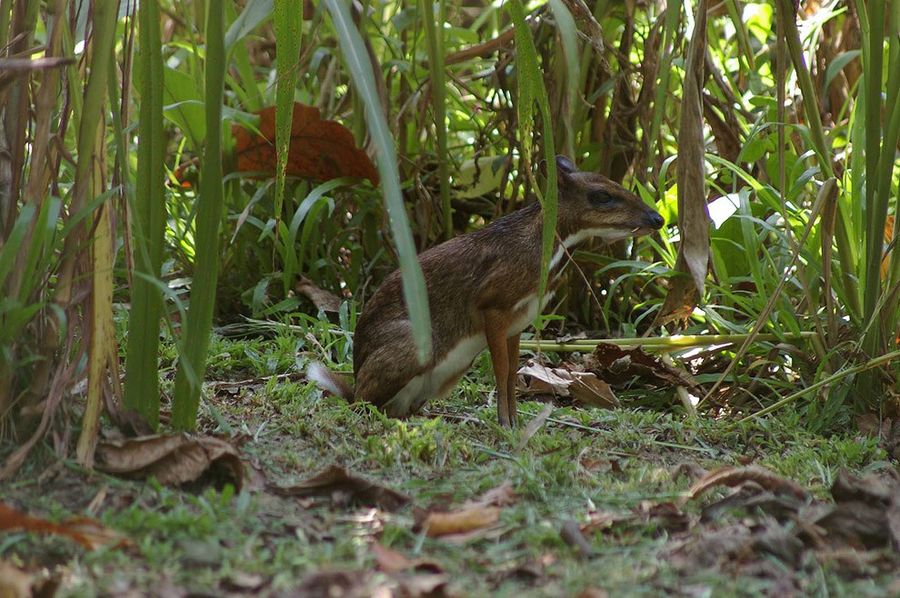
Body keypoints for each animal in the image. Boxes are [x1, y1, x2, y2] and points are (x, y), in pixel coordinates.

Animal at [310, 155, 660, 426]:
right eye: (602, 195)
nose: (656, 217)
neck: (540, 251)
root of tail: (353, 383)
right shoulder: (493, 304)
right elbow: (501, 369)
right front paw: (505, 423)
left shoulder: (518, 323)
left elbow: (512, 372)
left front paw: (515, 422)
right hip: (416, 344)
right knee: (364, 404)